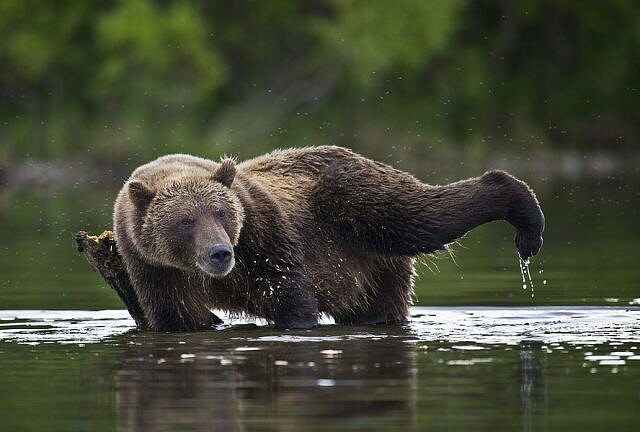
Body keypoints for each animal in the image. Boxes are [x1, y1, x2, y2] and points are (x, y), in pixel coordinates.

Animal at [114, 146, 544, 331]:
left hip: (359, 204)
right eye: (185, 221)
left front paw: (299, 321)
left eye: (223, 213)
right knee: (380, 301)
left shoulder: (262, 232)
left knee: (426, 216)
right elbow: (179, 315)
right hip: (372, 268)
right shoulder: (153, 268)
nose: (220, 253)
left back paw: (524, 220)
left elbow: (287, 286)